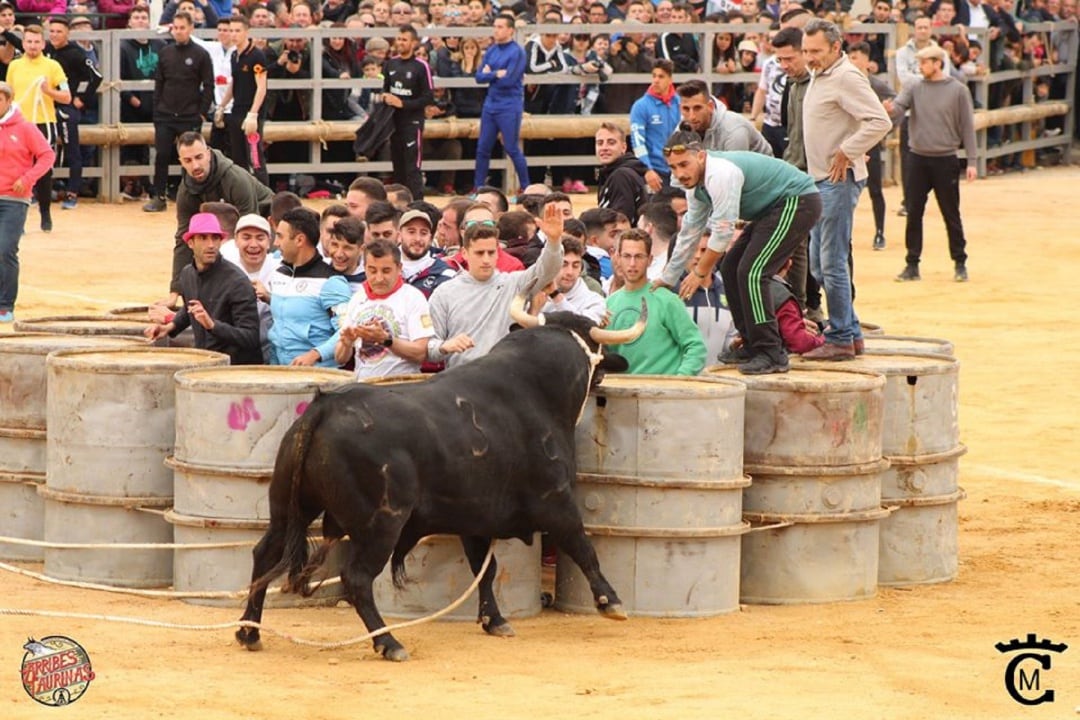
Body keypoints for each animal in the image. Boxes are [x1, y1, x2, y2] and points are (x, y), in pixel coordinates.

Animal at [236, 302, 643, 660]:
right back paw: (389, 643)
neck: (536, 390)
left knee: (264, 555)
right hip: (382, 524)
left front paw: (494, 620)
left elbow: (485, 569)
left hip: (287, 510)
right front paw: (611, 601)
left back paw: (249, 631)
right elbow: (582, 547)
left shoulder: (475, 518)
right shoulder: (555, 500)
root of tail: (324, 407)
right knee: (357, 579)